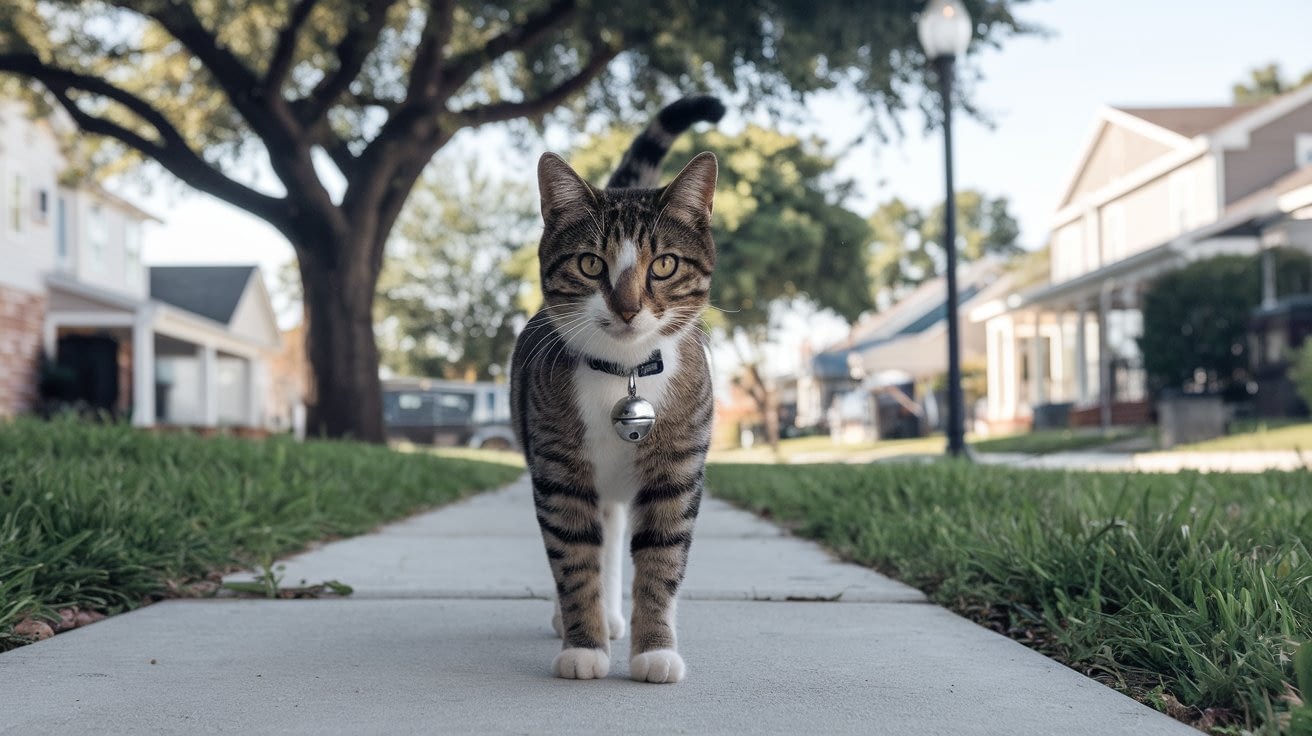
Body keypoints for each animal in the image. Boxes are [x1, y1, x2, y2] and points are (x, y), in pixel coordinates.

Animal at [509, 97, 718, 682]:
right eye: (589, 263)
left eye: (664, 264)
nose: (627, 308)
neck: (622, 373)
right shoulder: (558, 472)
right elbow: (574, 557)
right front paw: (584, 646)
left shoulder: (676, 470)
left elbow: (661, 558)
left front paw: (654, 650)